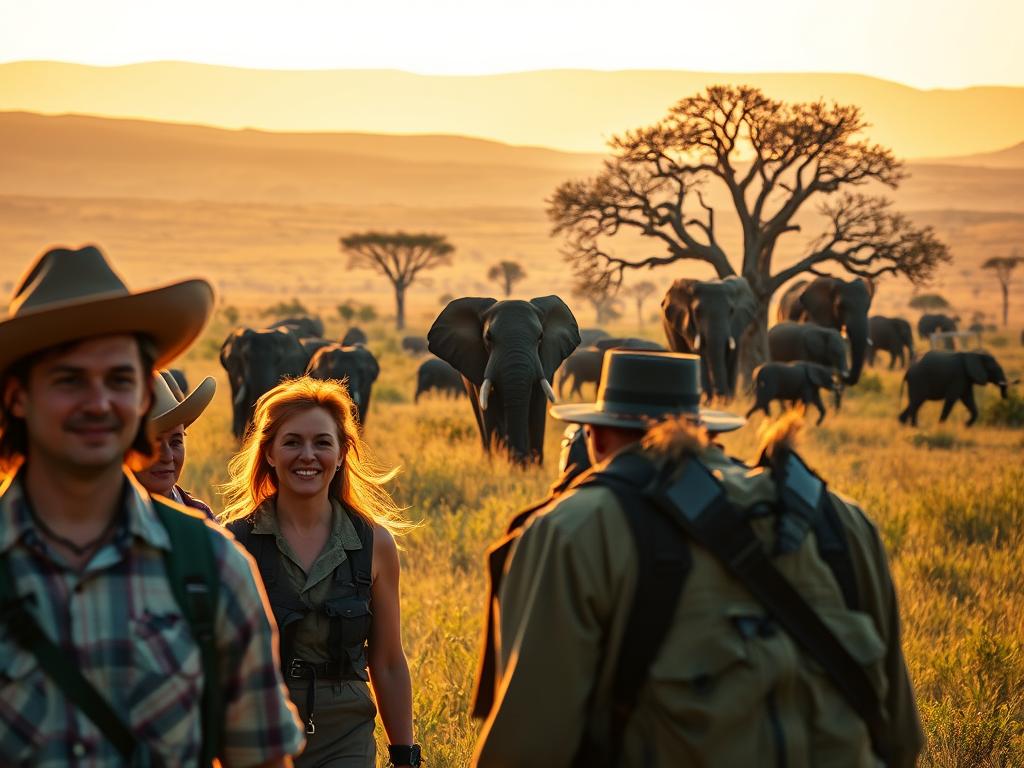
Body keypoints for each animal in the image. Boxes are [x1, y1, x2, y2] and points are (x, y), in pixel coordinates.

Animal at [428, 296, 580, 464]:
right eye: (488, 338)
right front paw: (498, 463)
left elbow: (537, 409)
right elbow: (489, 409)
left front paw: (531, 466)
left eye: (540, 337)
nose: (520, 457)